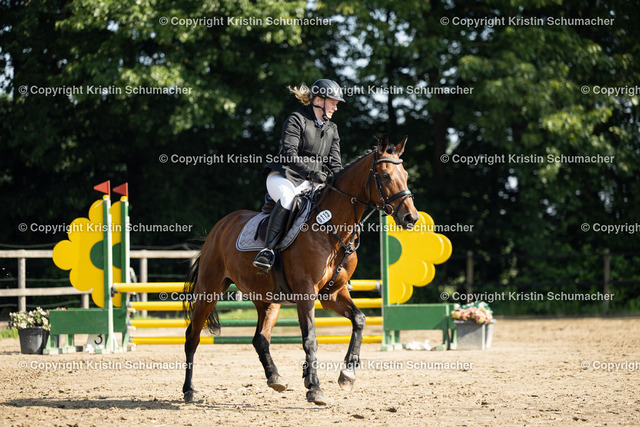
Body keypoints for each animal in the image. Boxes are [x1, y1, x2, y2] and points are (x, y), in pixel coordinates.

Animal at [182, 134, 419, 405]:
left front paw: (347, 374)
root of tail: (218, 227)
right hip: (209, 290)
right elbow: (310, 338)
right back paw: (189, 390)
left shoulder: (333, 294)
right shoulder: (306, 293)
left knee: (260, 338)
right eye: (386, 176)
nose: (411, 218)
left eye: (406, 175)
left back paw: (275, 378)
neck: (331, 228)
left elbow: (359, 320)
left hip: (267, 299)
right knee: (193, 336)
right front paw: (315, 388)